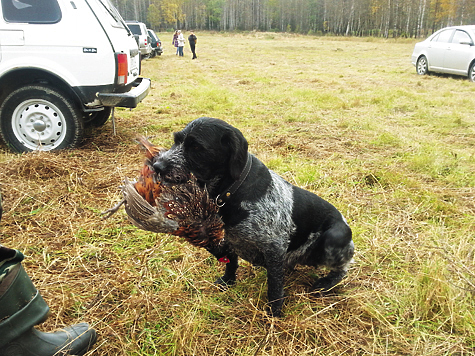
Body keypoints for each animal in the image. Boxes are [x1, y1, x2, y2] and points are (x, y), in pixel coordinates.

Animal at [154, 118, 356, 316]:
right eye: (176, 141)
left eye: (196, 147)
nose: (156, 166)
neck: (232, 189)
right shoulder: (228, 239)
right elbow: (231, 263)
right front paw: (228, 281)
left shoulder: (275, 248)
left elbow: (274, 286)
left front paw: (274, 313)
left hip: (333, 238)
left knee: (343, 269)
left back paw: (325, 284)